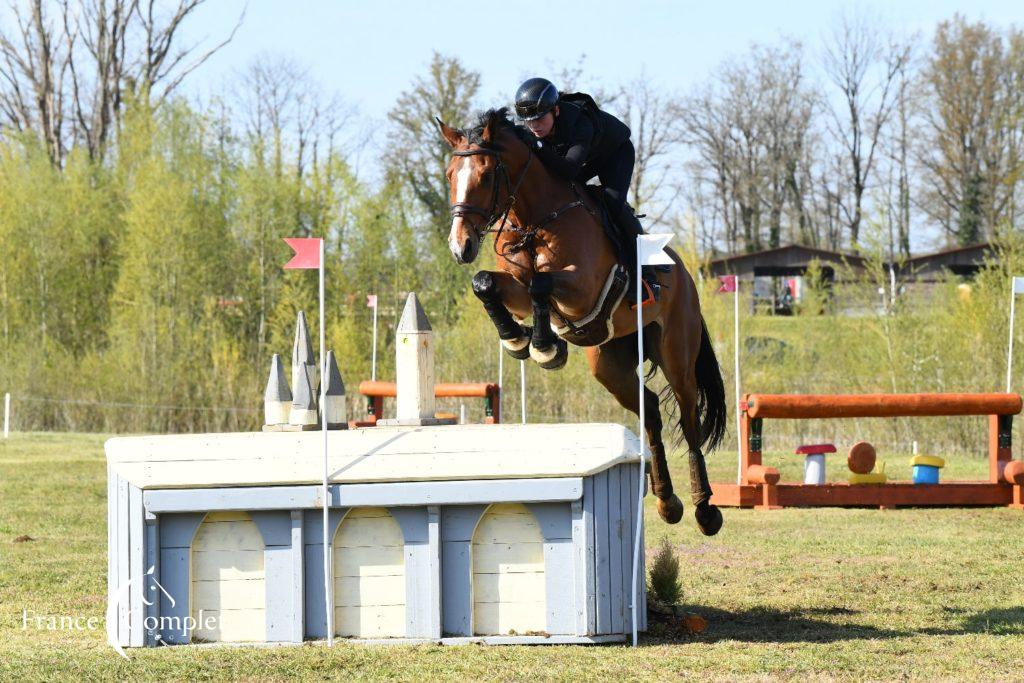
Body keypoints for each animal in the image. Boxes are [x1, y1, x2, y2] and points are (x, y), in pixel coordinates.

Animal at [436, 108, 724, 532]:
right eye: (450, 174)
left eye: (487, 175)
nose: (461, 247)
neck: (534, 220)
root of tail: (686, 273)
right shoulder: (515, 287)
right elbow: (486, 283)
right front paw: (518, 339)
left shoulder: (583, 288)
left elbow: (541, 283)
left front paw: (543, 347)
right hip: (610, 365)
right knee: (651, 410)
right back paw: (667, 502)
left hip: (676, 354)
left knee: (688, 421)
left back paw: (705, 509)